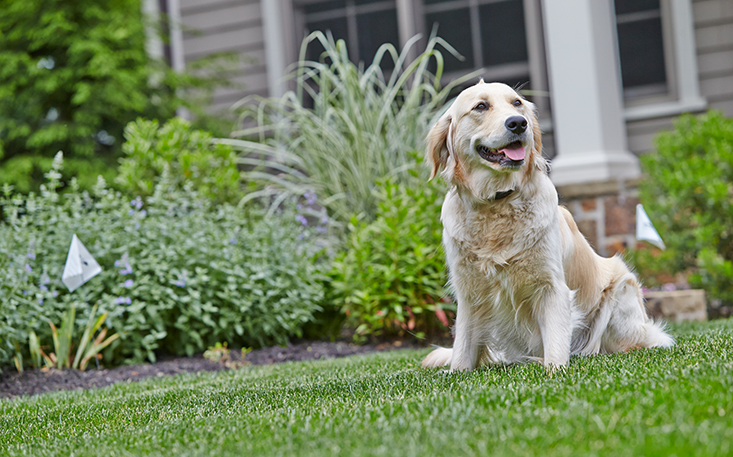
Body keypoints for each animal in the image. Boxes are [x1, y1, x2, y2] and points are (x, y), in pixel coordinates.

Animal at [420, 80, 672, 370]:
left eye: (517, 103)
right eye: (480, 106)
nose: (518, 123)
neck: (497, 203)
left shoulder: (552, 286)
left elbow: (555, 344)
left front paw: (554, 370)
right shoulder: (469, 292)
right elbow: (462, 350)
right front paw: (458, 372)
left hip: (622, 290)